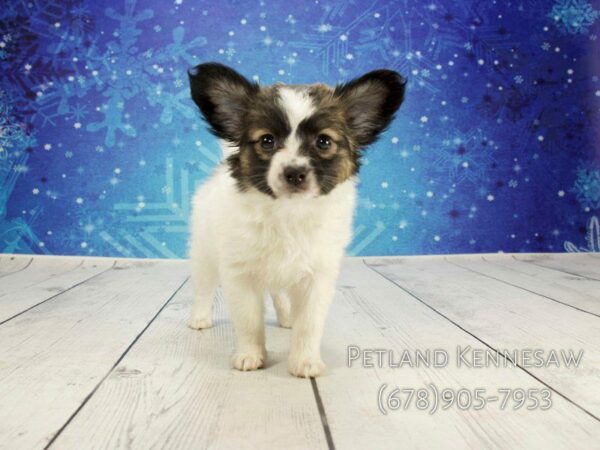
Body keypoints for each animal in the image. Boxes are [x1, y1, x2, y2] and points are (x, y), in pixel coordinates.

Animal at [185, 62, 406, 376]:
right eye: (267, 141)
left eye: (323, 142)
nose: (294, 173)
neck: (288, 213)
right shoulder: (240, 273)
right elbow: (249, 321)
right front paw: (250, 355)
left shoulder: (318, 276)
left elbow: (309, 325)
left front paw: (305, 360)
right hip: (204, 252)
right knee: (203, 288)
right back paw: (200, 318)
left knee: (278, 293)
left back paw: (287, 316)